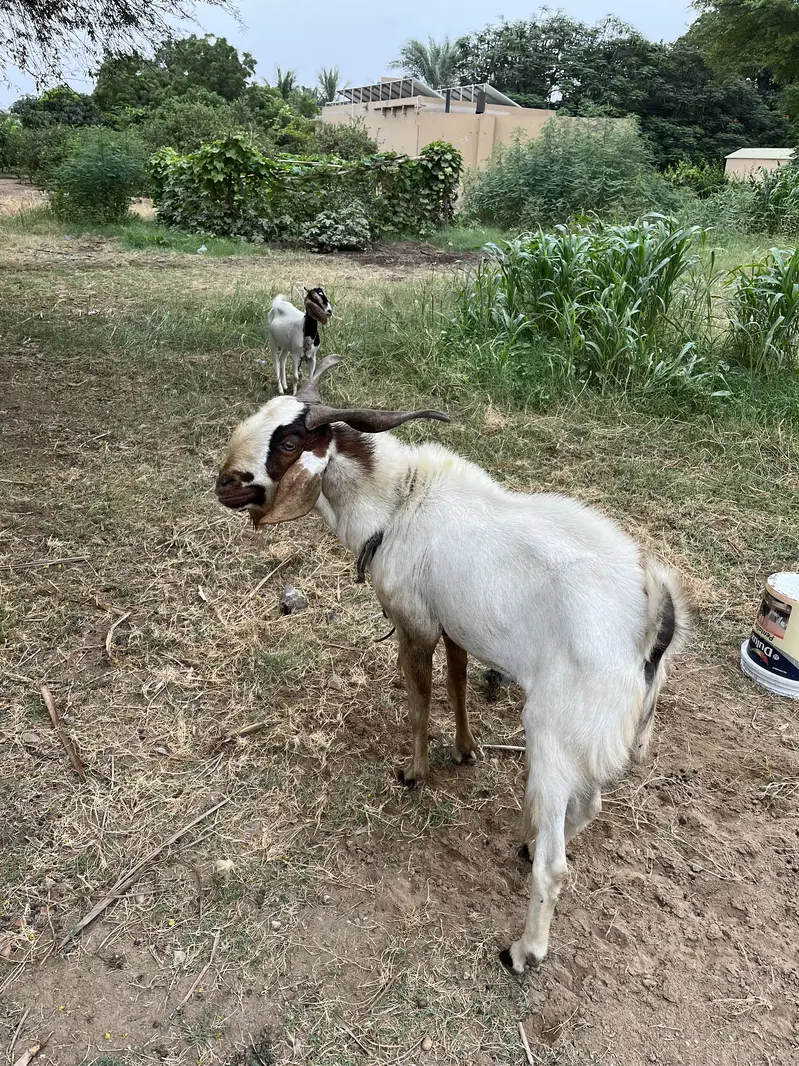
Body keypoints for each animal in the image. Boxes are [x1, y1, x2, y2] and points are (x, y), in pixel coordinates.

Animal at [215, 356, 688, 973]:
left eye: (290, 441)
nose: (223, 483)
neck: (399, 501)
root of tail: (651, 621)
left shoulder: (414, 623)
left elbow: (419, 699)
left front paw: (415, 772)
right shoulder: (453, 625)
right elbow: (458, 682)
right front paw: (465, 750)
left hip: (553, 731)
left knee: (558, 861)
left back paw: (524, 950)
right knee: (586, 806)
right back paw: (526, 840)